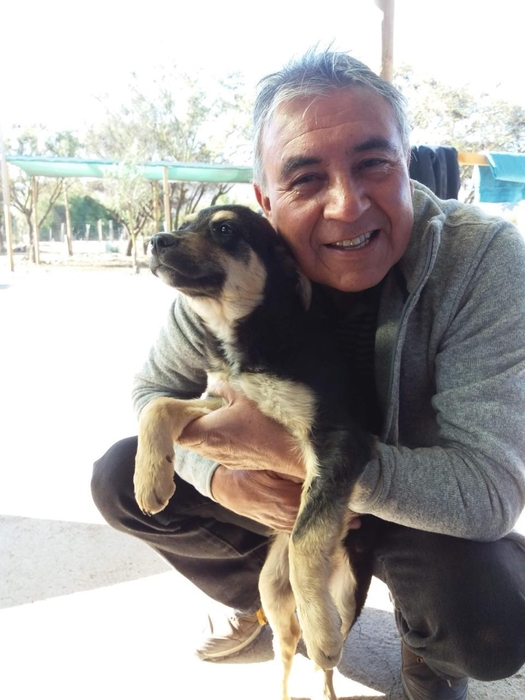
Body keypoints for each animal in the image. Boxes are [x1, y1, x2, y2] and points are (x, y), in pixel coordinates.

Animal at [133, 205, 376, 700]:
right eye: (187, 222)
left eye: (225, 229)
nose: (155, 240)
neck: (248, 337)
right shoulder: (221, 401)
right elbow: (159, 406)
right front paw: (150, 479)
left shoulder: (338, 438)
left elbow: (306, 535)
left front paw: (320, 630)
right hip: (270, 589)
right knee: (286, 648)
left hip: (346, 589)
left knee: (325, 660)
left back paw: (324, 646)